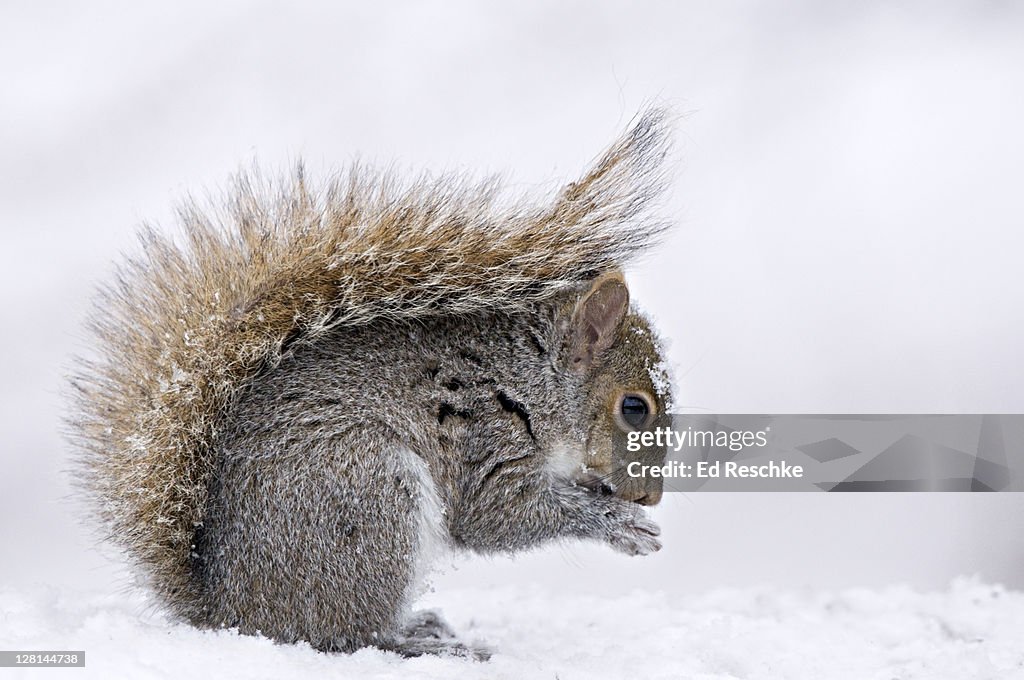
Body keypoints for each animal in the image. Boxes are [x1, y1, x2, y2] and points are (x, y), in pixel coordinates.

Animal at [64, 110, 671, 659]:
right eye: (634, 408)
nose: (651, 498)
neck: (529, 384)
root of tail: (229, 610)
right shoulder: (481, 441)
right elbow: (495, 518)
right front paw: (619, 525)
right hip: (370, 496)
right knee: (349, 635)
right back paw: (423, 644)